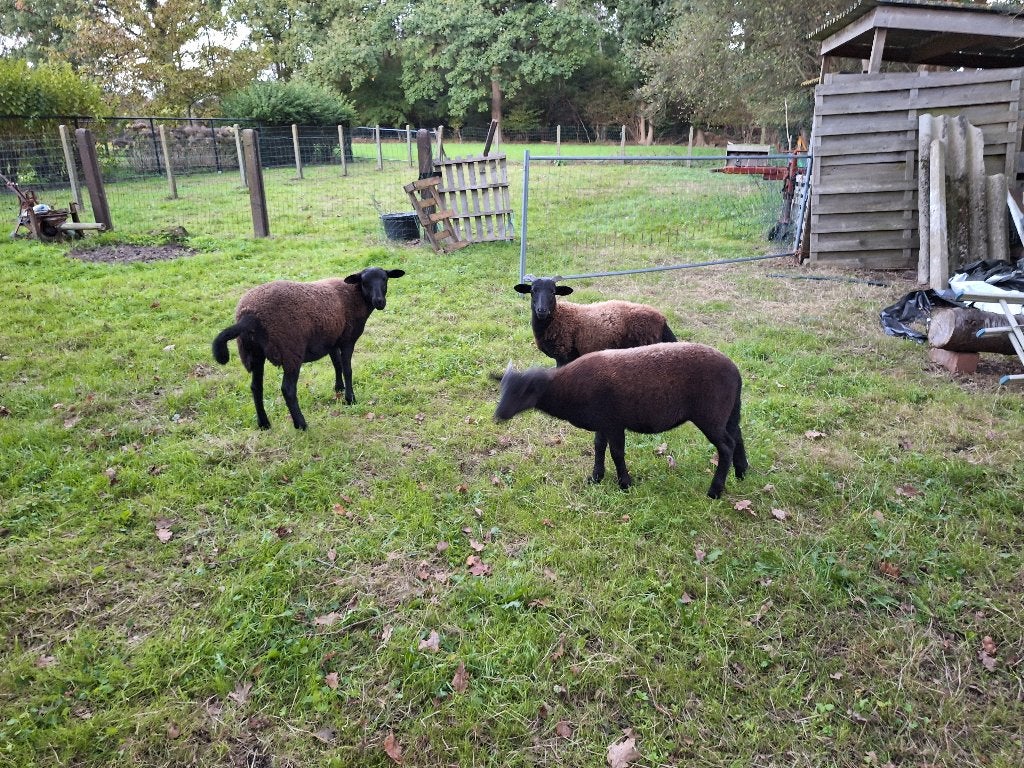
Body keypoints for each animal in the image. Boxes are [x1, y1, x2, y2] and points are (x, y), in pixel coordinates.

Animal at [212, 267, 405, 430]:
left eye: (385, 279)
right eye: (364, 282)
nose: (380, 302)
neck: (355, 296)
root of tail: (248, 317)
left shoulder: (331, 339)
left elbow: (337, 365)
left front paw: (339, 389)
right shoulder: (347, 340)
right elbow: (347, 369)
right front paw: (350, 399)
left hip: (254, 353)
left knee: (256, 387)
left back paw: (264, 423)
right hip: (290, 350)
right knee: (288, 389)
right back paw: (301, 425)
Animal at [493, 342, 747, 498]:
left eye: (524, 391)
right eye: (502, 388)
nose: (498, 415)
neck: (565, 389)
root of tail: (735, 371)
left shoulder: (614, 422)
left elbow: (616, 452)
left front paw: (625, 483)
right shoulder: (602, 421)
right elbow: (598, 446)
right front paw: (596, 477)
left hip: (710, 414)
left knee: (726, 446)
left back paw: (715, 491)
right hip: (728, 411)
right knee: (738, 435)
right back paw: (742, 472)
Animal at [513, 277, 676, 366]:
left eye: (553, 292)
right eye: (532, 291)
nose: (542, 310)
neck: (557, 318)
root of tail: (662, 318)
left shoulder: (565, 356)